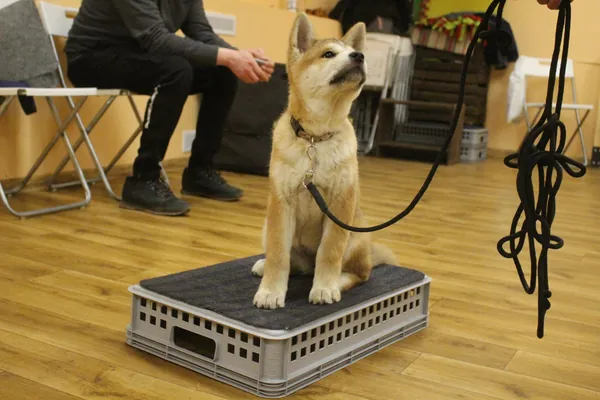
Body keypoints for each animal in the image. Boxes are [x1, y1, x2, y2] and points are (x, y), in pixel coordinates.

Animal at [252, 13, 397, 309]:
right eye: (328, 54)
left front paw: (325, 288)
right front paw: (271, 291)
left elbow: (329, 253)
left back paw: (336, 281)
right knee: (293, 262)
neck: (315, 139)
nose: (359, 55)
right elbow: (278, 254)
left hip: (357, 236)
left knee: (358, 273)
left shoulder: (340, 204)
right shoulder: (281, 204)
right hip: (267, 225)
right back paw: (266, 266)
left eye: (354, 51)